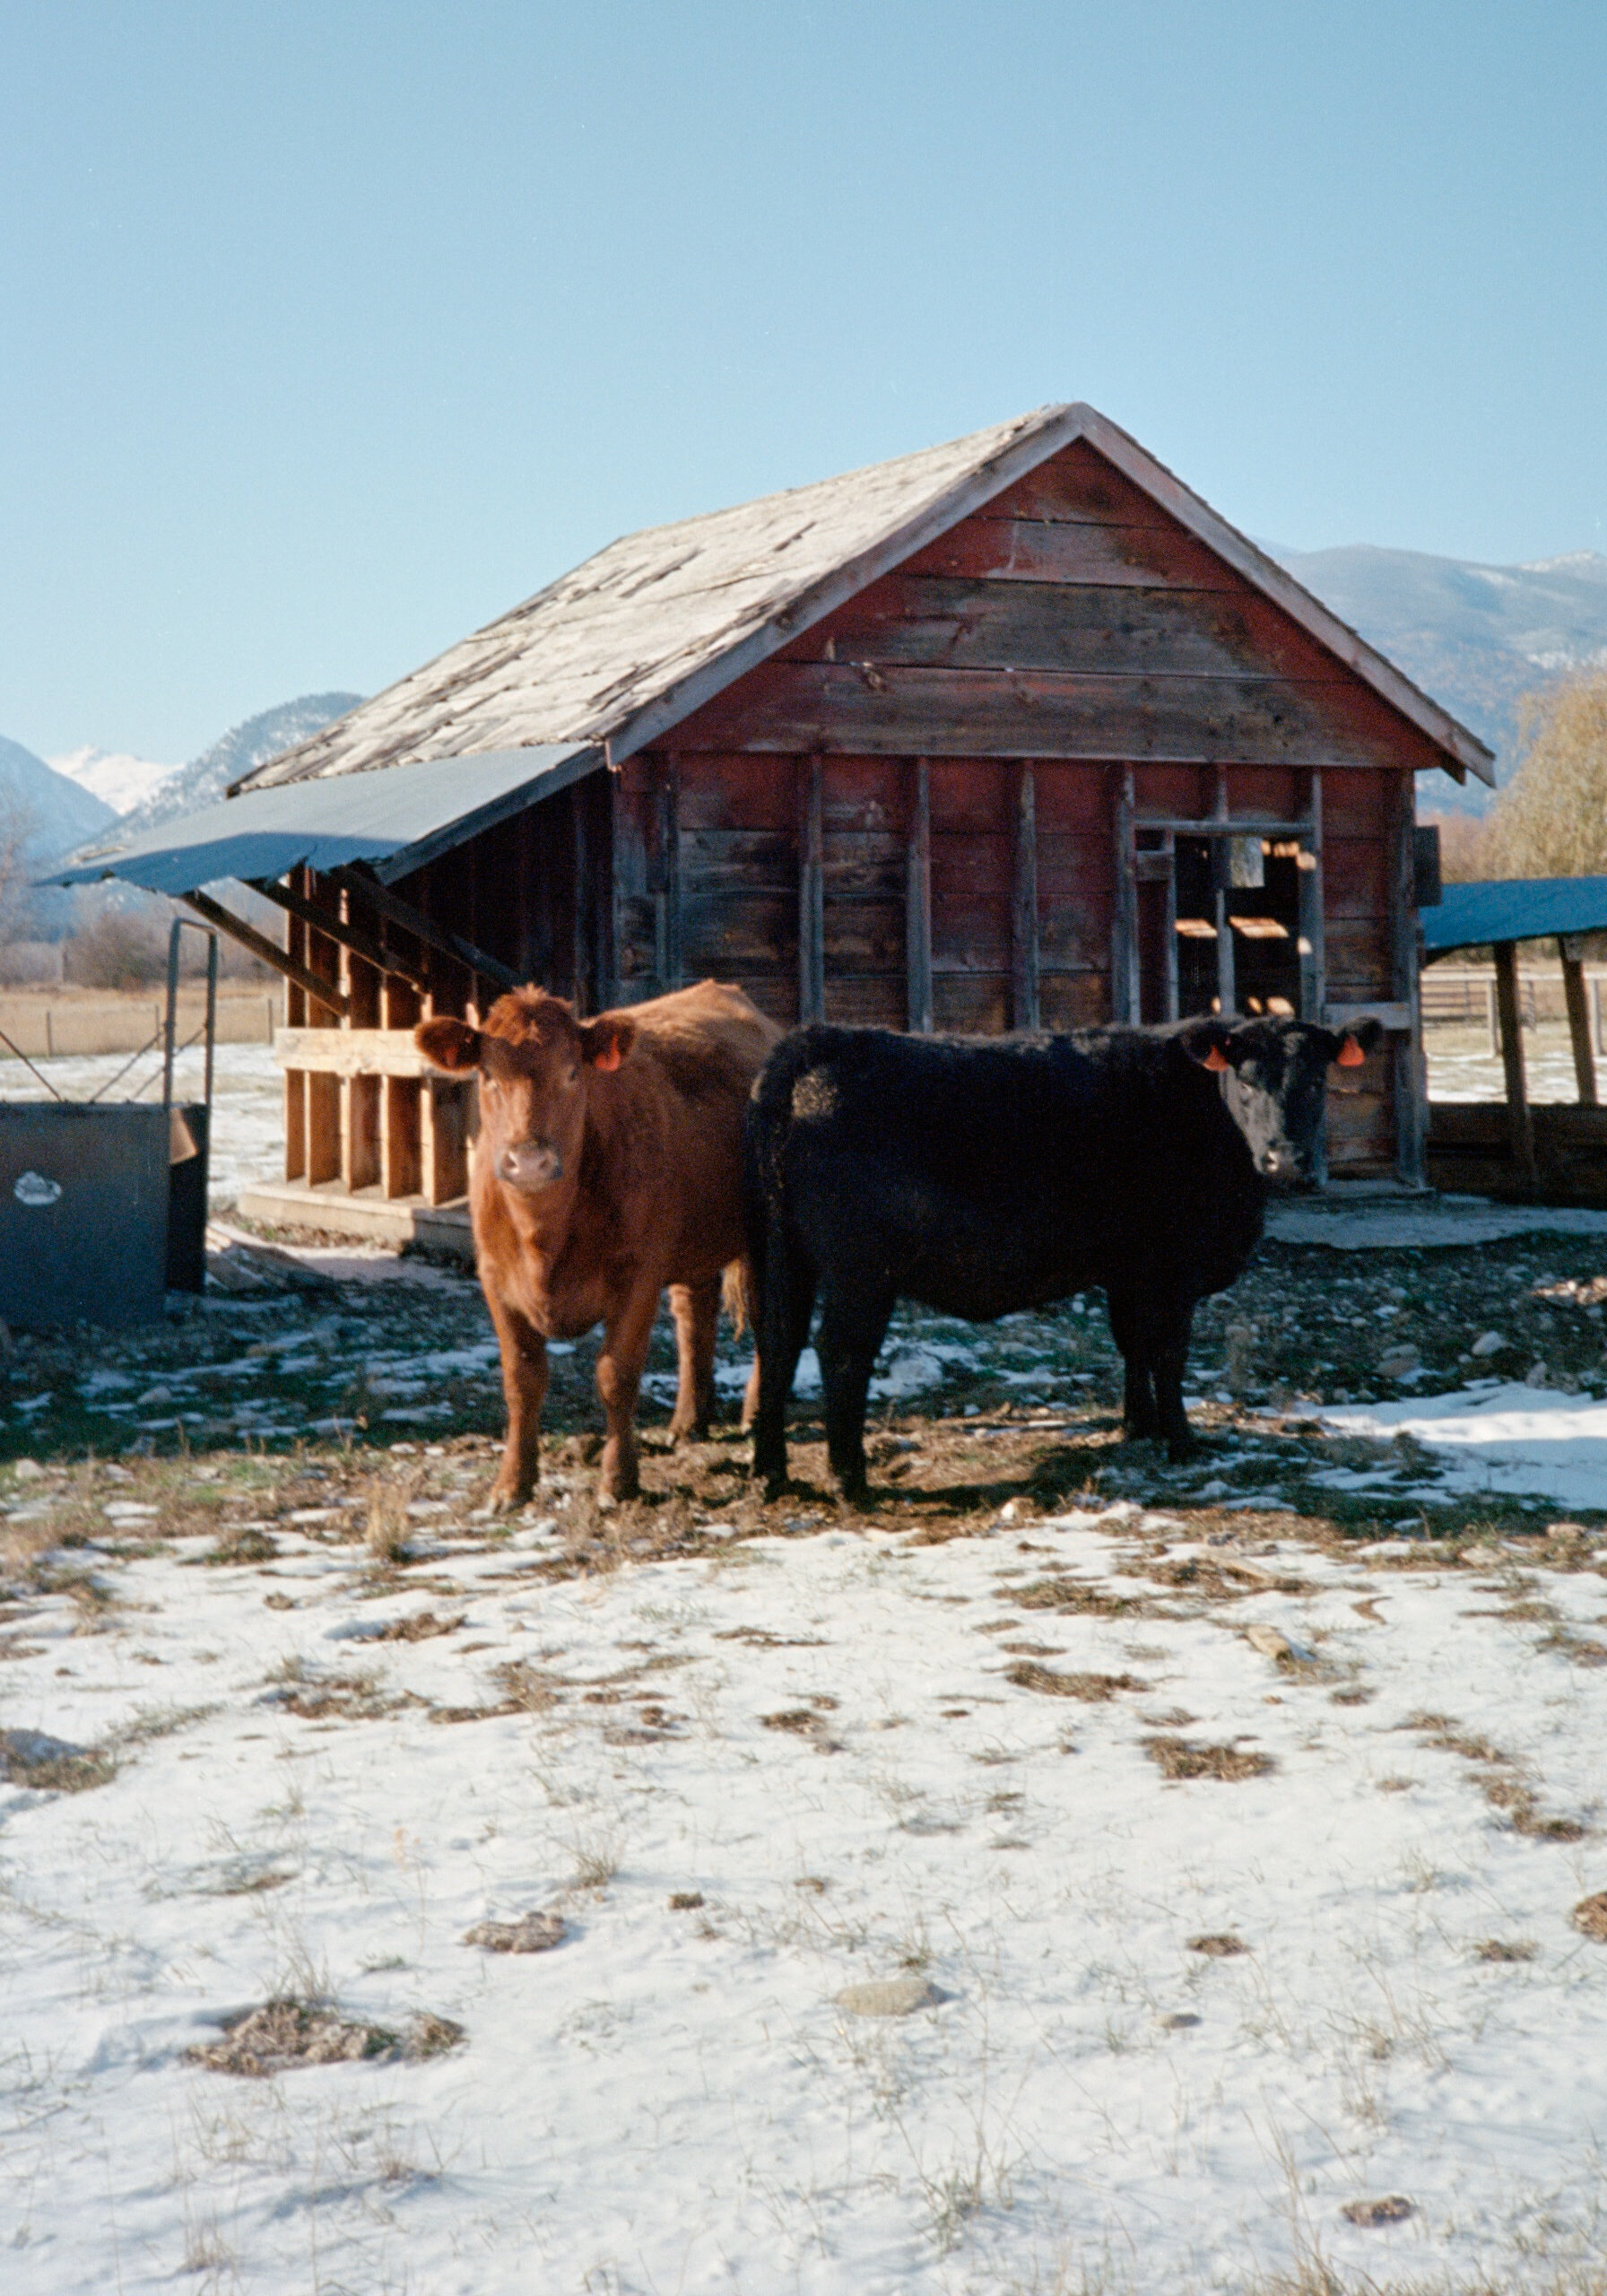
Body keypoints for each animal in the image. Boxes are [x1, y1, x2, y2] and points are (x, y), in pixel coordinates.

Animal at [415, 979, 781, 1508]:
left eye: (572, 1072)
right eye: (486, 1074)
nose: (529, 1160)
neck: (544, 1237)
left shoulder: (639, 1276)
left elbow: (616, 1376)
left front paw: (618, 1481)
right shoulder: (495, 1281)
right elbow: (521, 1380)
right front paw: (512, 1483)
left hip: (762, 1233)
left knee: (762, 1316)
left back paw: (754, 1414)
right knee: (695, 1315)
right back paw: (689, 1420)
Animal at [744, 1013, 1382, 1501]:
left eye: (1318, 1083)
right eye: (1246, 1084)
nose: (1287, 1160)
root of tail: (816, 1040)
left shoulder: (1130, 1270)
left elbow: (1133, 1344)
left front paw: (1137, 1425)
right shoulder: (1172, 1270)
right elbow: (1169, 1351)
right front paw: (1179, 1440)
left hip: (781, 1255)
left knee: (776, 1341)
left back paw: (770, 1473)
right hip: (859, 1271)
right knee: (840, 1351)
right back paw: (848, 1480)